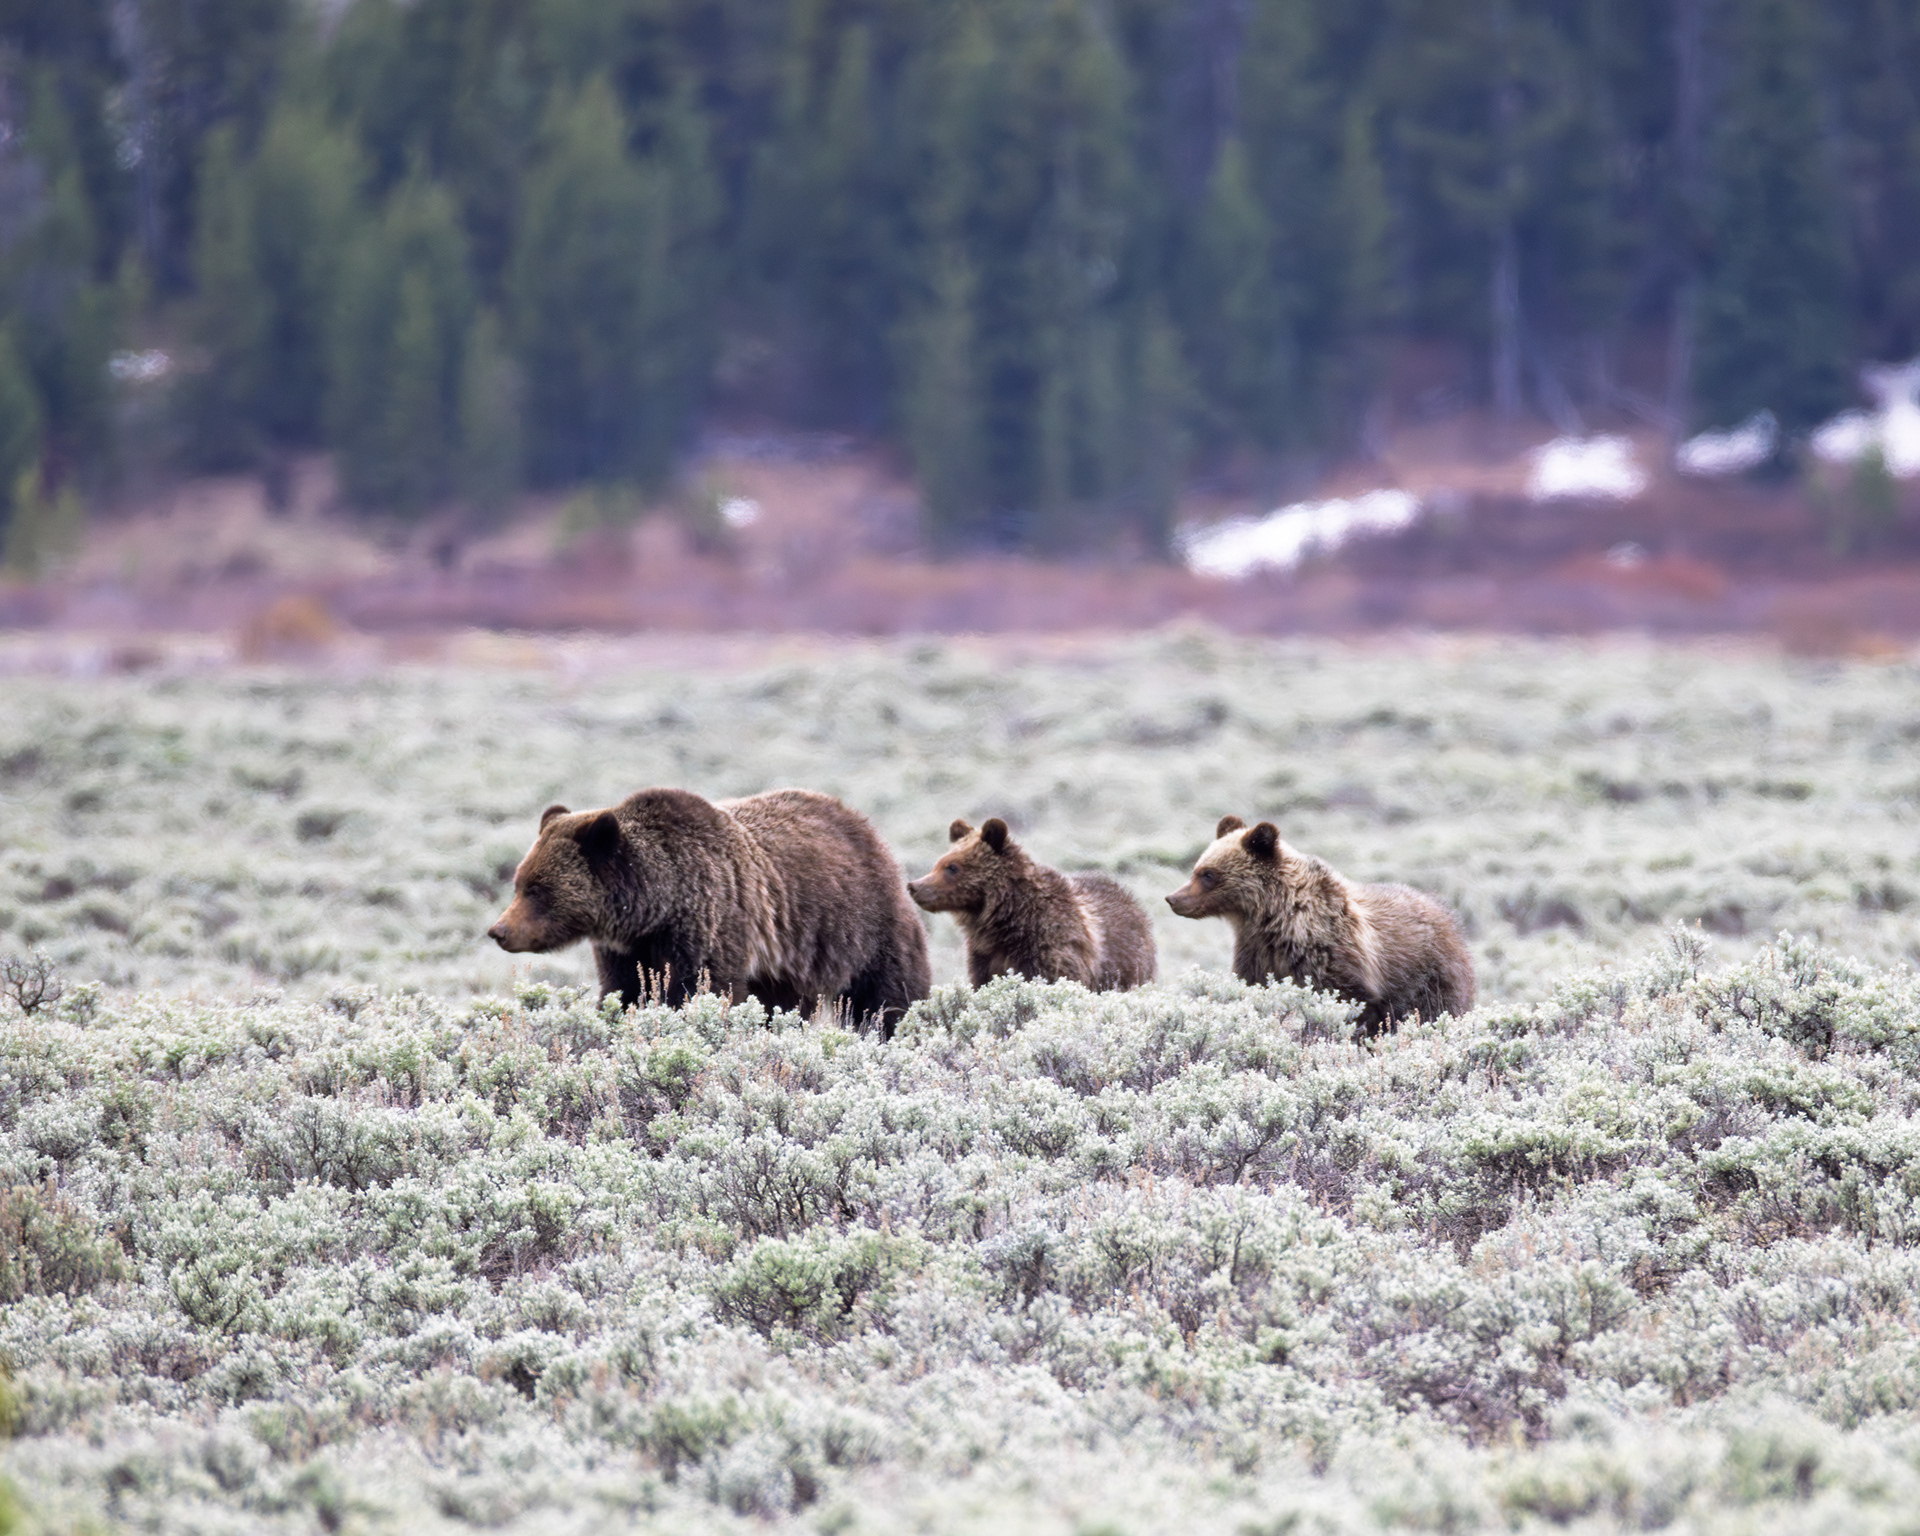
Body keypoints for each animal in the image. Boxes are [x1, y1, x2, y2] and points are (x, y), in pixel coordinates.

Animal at [488, 787, 931, 1031]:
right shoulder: (628, 950)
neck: (657, 907)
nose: (499, 931)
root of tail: (862, 824)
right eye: (518, 883)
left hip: (864, 924)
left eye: (538, 890)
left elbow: (703, 990)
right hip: (789, 963)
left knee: (887, 993)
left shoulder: (711, 924)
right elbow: (625, 992)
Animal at [1166, 814, 1473, 1031]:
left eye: (1208, 874)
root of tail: (1447, 913)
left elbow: (1351, 1002)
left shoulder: (1332, 954)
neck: (1273, 919)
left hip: (1430, 976)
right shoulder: (1256, 951)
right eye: (1196, 868)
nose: (1173, 898)